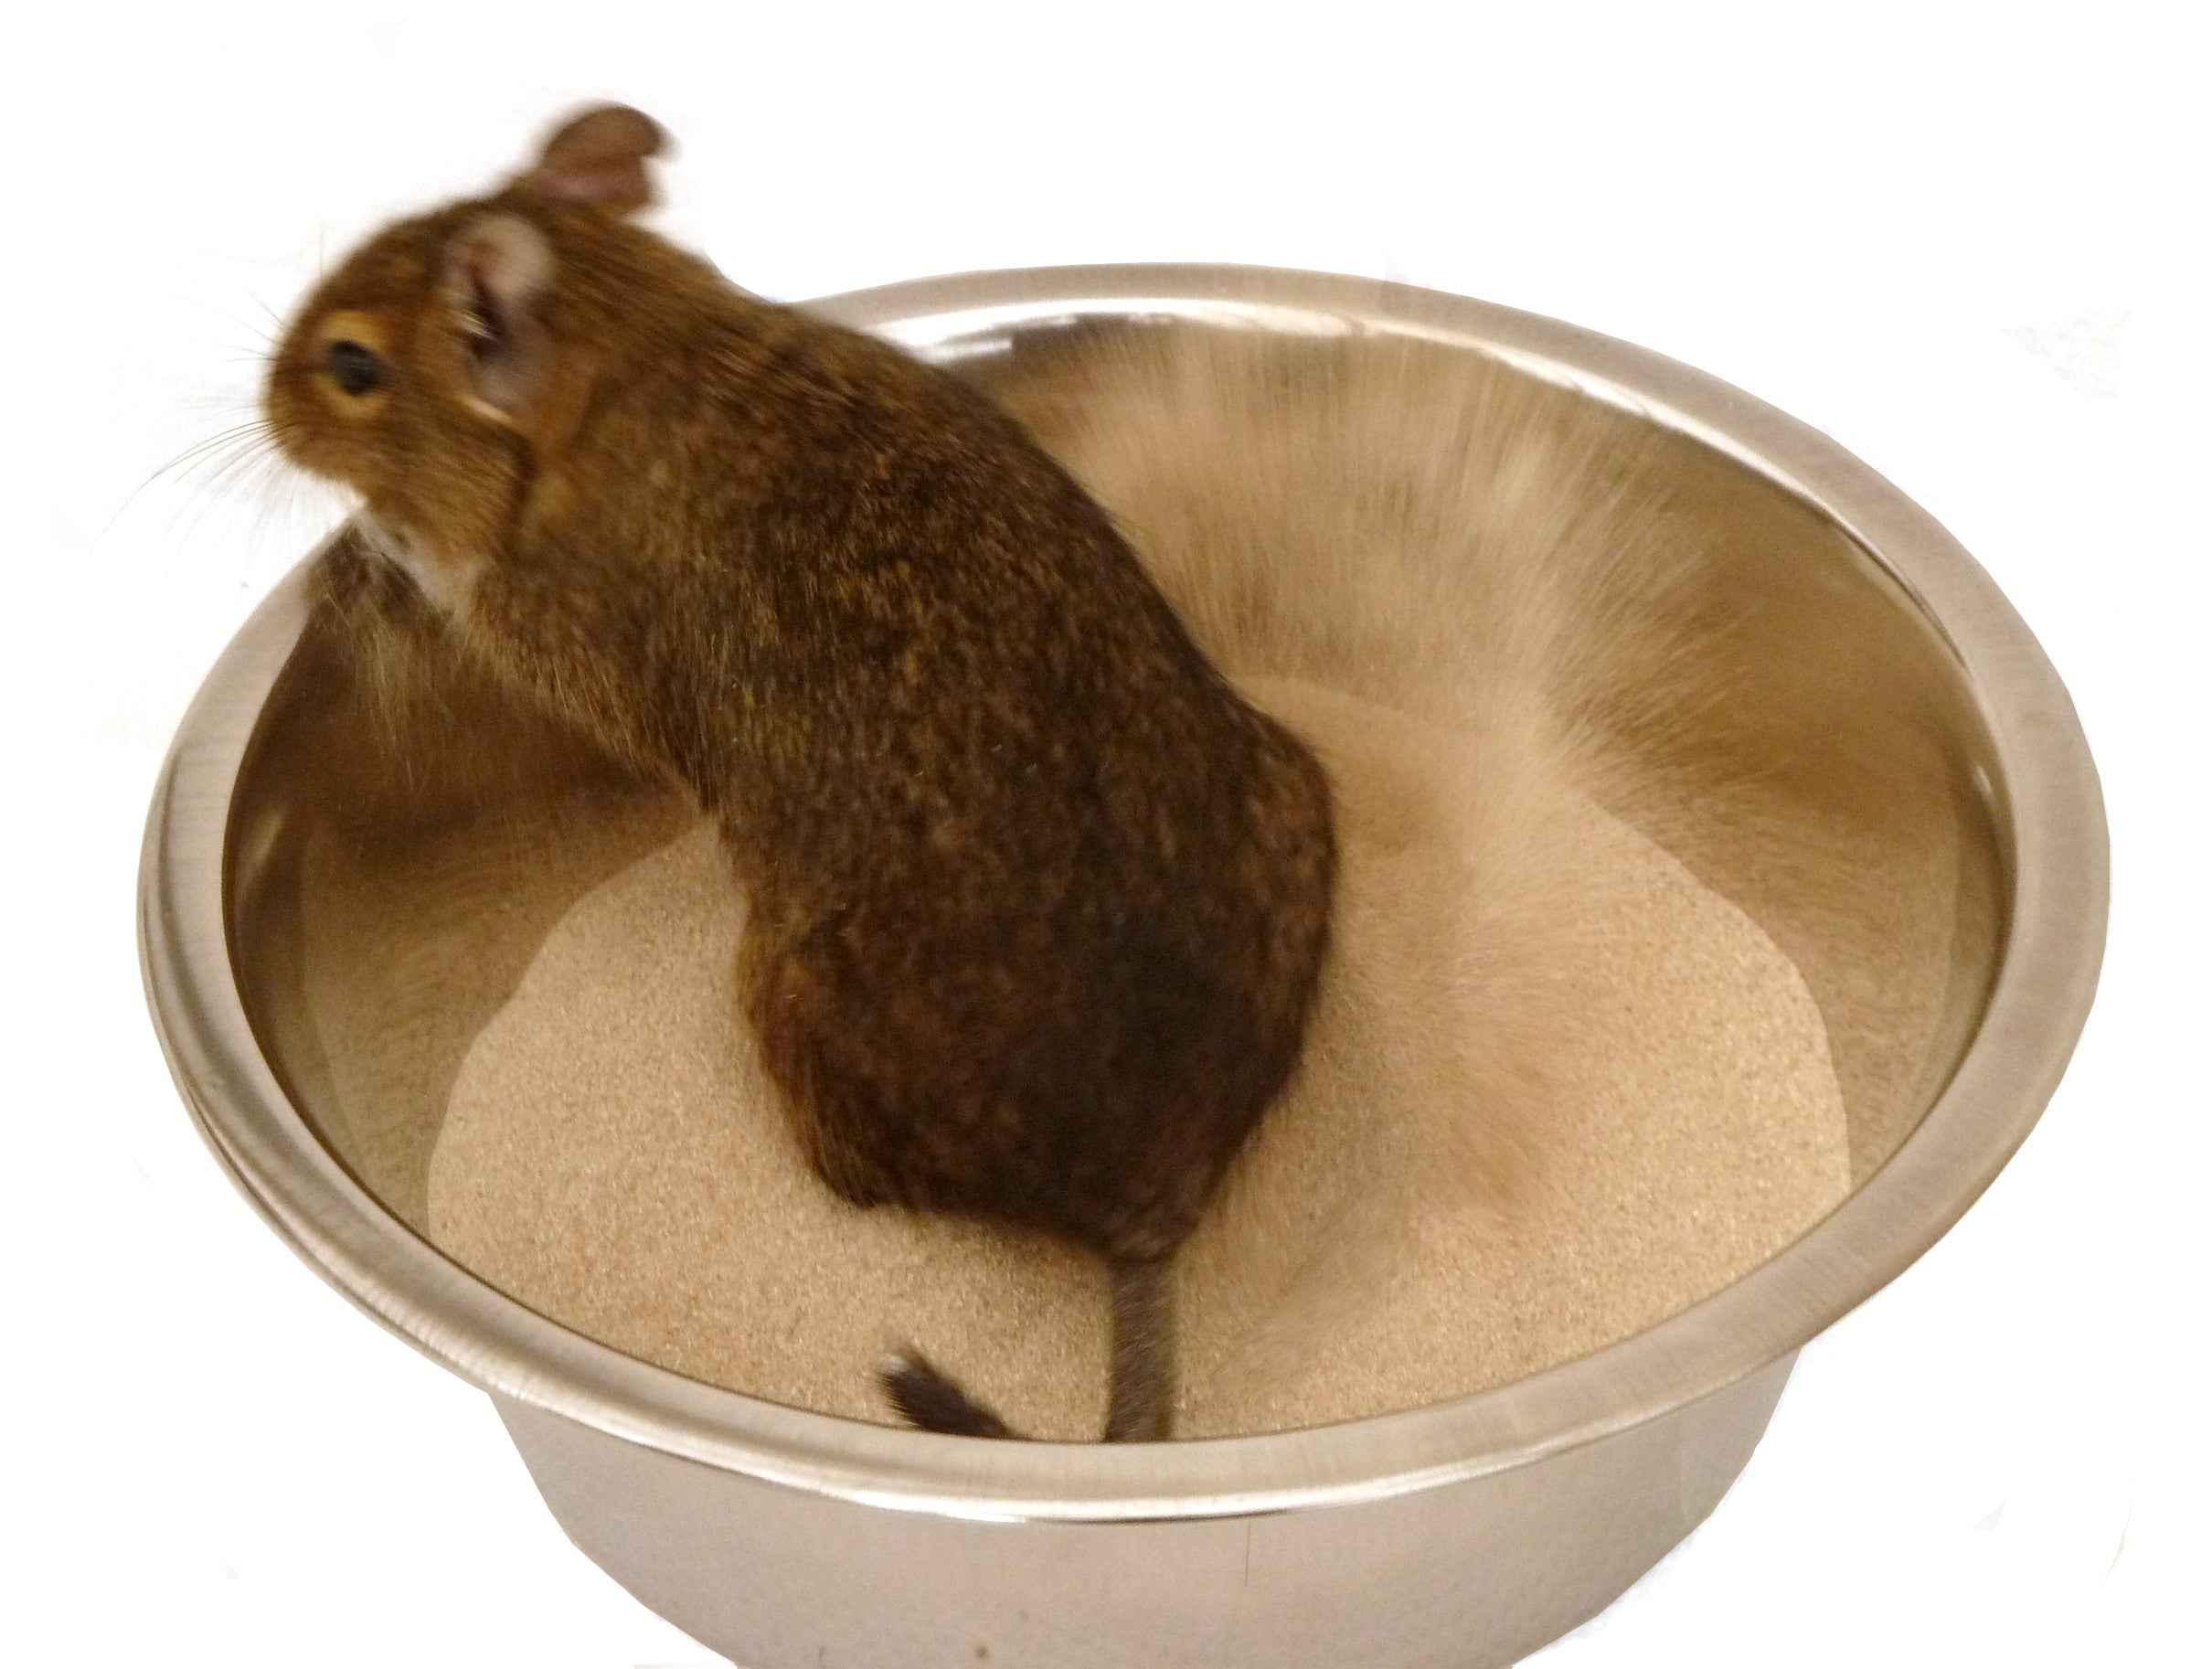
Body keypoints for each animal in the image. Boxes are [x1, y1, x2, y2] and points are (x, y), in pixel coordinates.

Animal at [262, 106, 1337, 1442]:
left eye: (351, 367)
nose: (264, 403)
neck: (638, 339)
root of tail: (1146, 1206)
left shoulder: (558, 641)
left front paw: (375, 545)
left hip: (782, 1001)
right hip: (1298, 790)